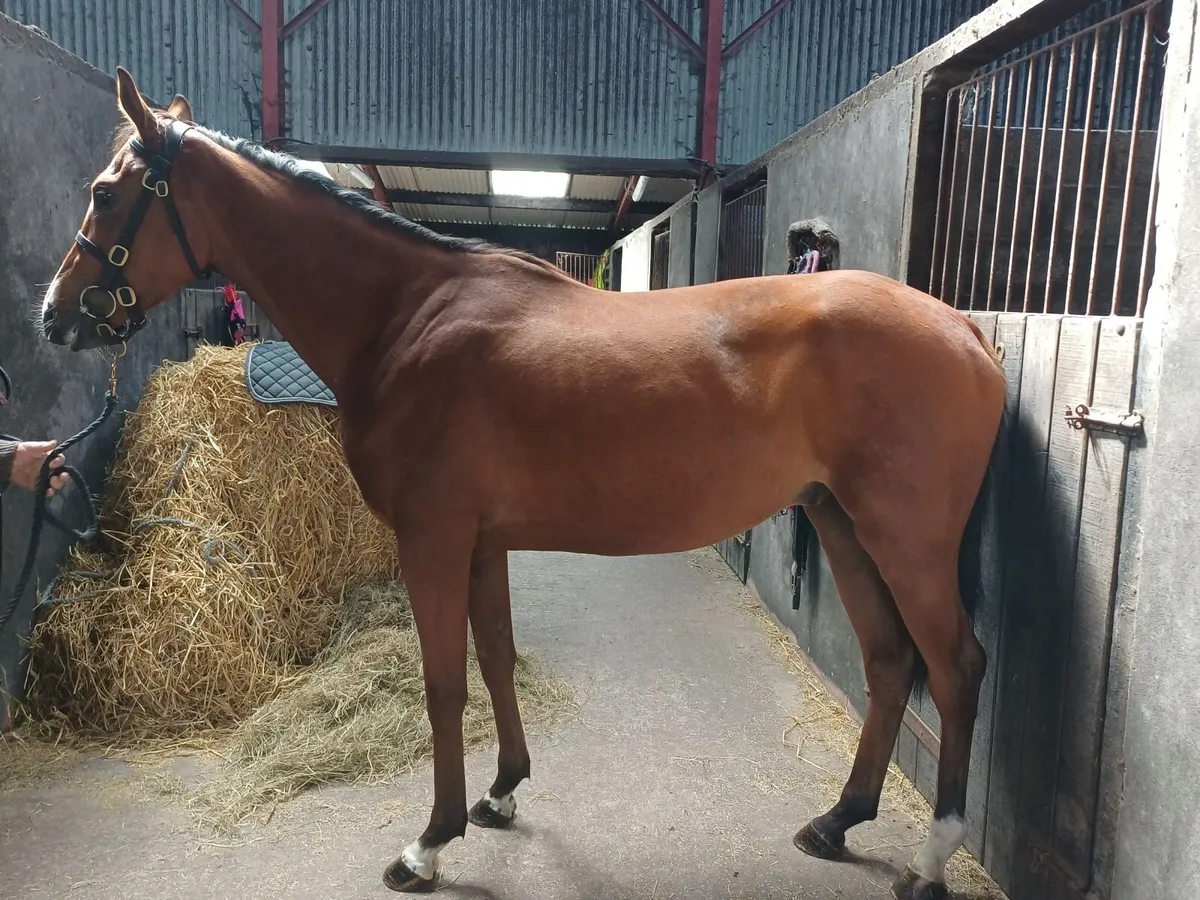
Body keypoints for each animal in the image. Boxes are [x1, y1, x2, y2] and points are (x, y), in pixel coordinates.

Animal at [40, 68, 1006, 900]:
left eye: (105, 193)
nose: (54, 316)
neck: (405, 317)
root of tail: (961, 326)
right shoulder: (482, 542)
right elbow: (496, 657)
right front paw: (501, 792)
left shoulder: (432, 539)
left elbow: (443, 684)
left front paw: (427, 845)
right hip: (843, 524)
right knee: (889, 662)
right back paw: (837, 821)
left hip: (905, 539)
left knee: (956, 668)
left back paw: (929, 859)